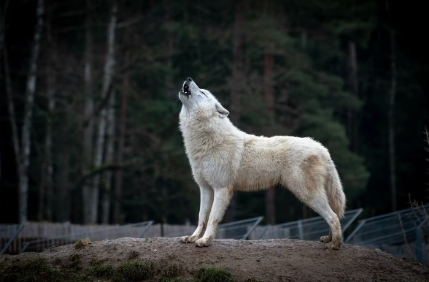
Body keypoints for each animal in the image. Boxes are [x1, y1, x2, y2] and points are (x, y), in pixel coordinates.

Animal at [176, 77, 344, 249]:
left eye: (203, 92)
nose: (188, 78)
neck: (209, 140)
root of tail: (321, 147)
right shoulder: (205, 188)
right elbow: (201, 217)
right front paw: (193, 237)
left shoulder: (222, 189)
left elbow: (212, 219)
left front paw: (205, 240)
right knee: (334, 215)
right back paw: (329, 239)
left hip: (307, 194)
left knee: (333, 217)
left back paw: (335, 244)